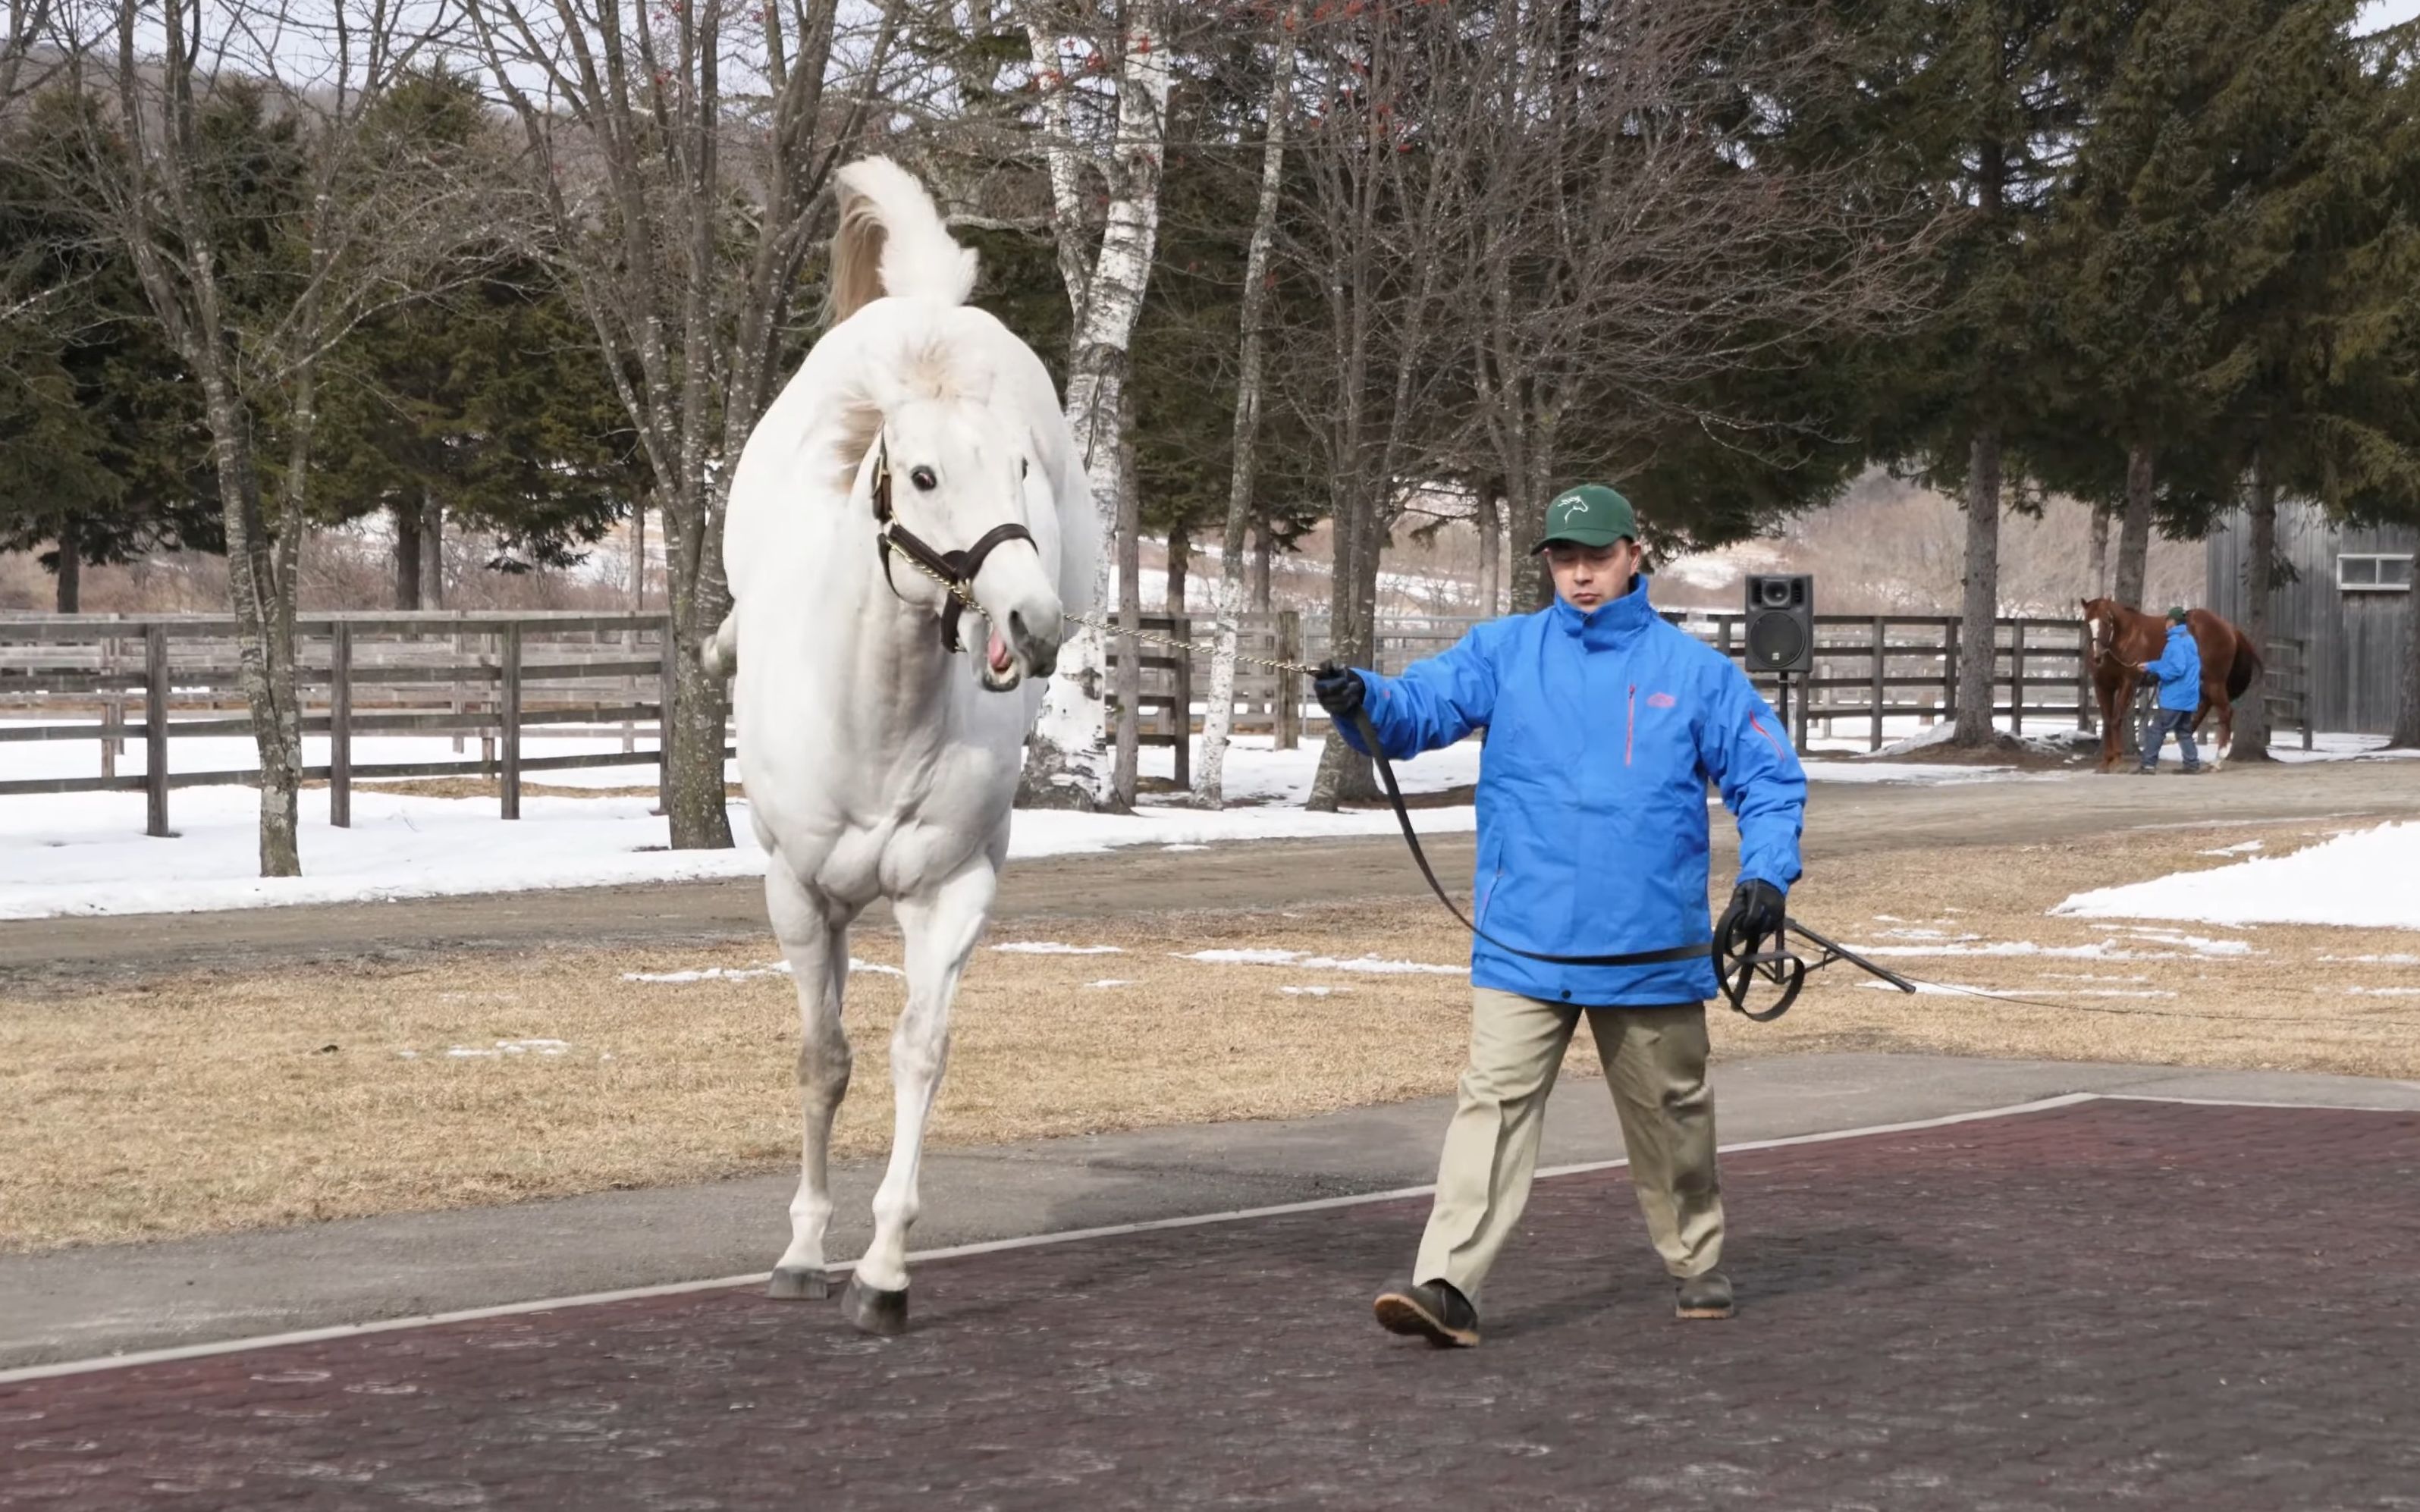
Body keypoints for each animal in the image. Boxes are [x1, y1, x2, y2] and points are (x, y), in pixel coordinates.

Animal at [716, 155, 1098, 1335]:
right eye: (923, 476)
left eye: (1019, 469)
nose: (1028, 618)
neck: (874, 713)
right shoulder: (799, 894)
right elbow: (822, 1059)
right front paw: (803, 1249)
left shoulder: (951, 887)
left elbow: (916, 1052)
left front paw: (881, 1268)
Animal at [2071, 594, 2255, 773]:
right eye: (2087, 622)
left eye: (2107, 621)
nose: (2098, 657)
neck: (2125, 638)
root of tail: (2229, 628)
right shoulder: (2103, 686)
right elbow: (2108, 720)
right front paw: (2106, 761)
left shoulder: (2128, 683)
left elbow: (2116, 719)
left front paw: (2116, 759)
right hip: (2205, 682)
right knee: (2203, 709)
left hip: (2214, 681)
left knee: (2225, 712)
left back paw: (2217, 761)